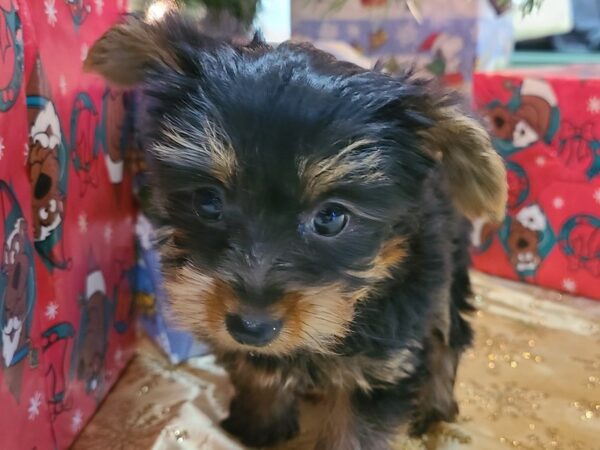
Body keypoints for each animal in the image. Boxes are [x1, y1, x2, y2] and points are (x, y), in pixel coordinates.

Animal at [84, 12, 506, 448]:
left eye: (331, 218)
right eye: (208, 201)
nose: (251, 326)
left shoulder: (383, 360)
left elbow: (356, 428)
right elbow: (258, 372)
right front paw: (258, 426)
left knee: (447, 335)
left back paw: (436, 406)